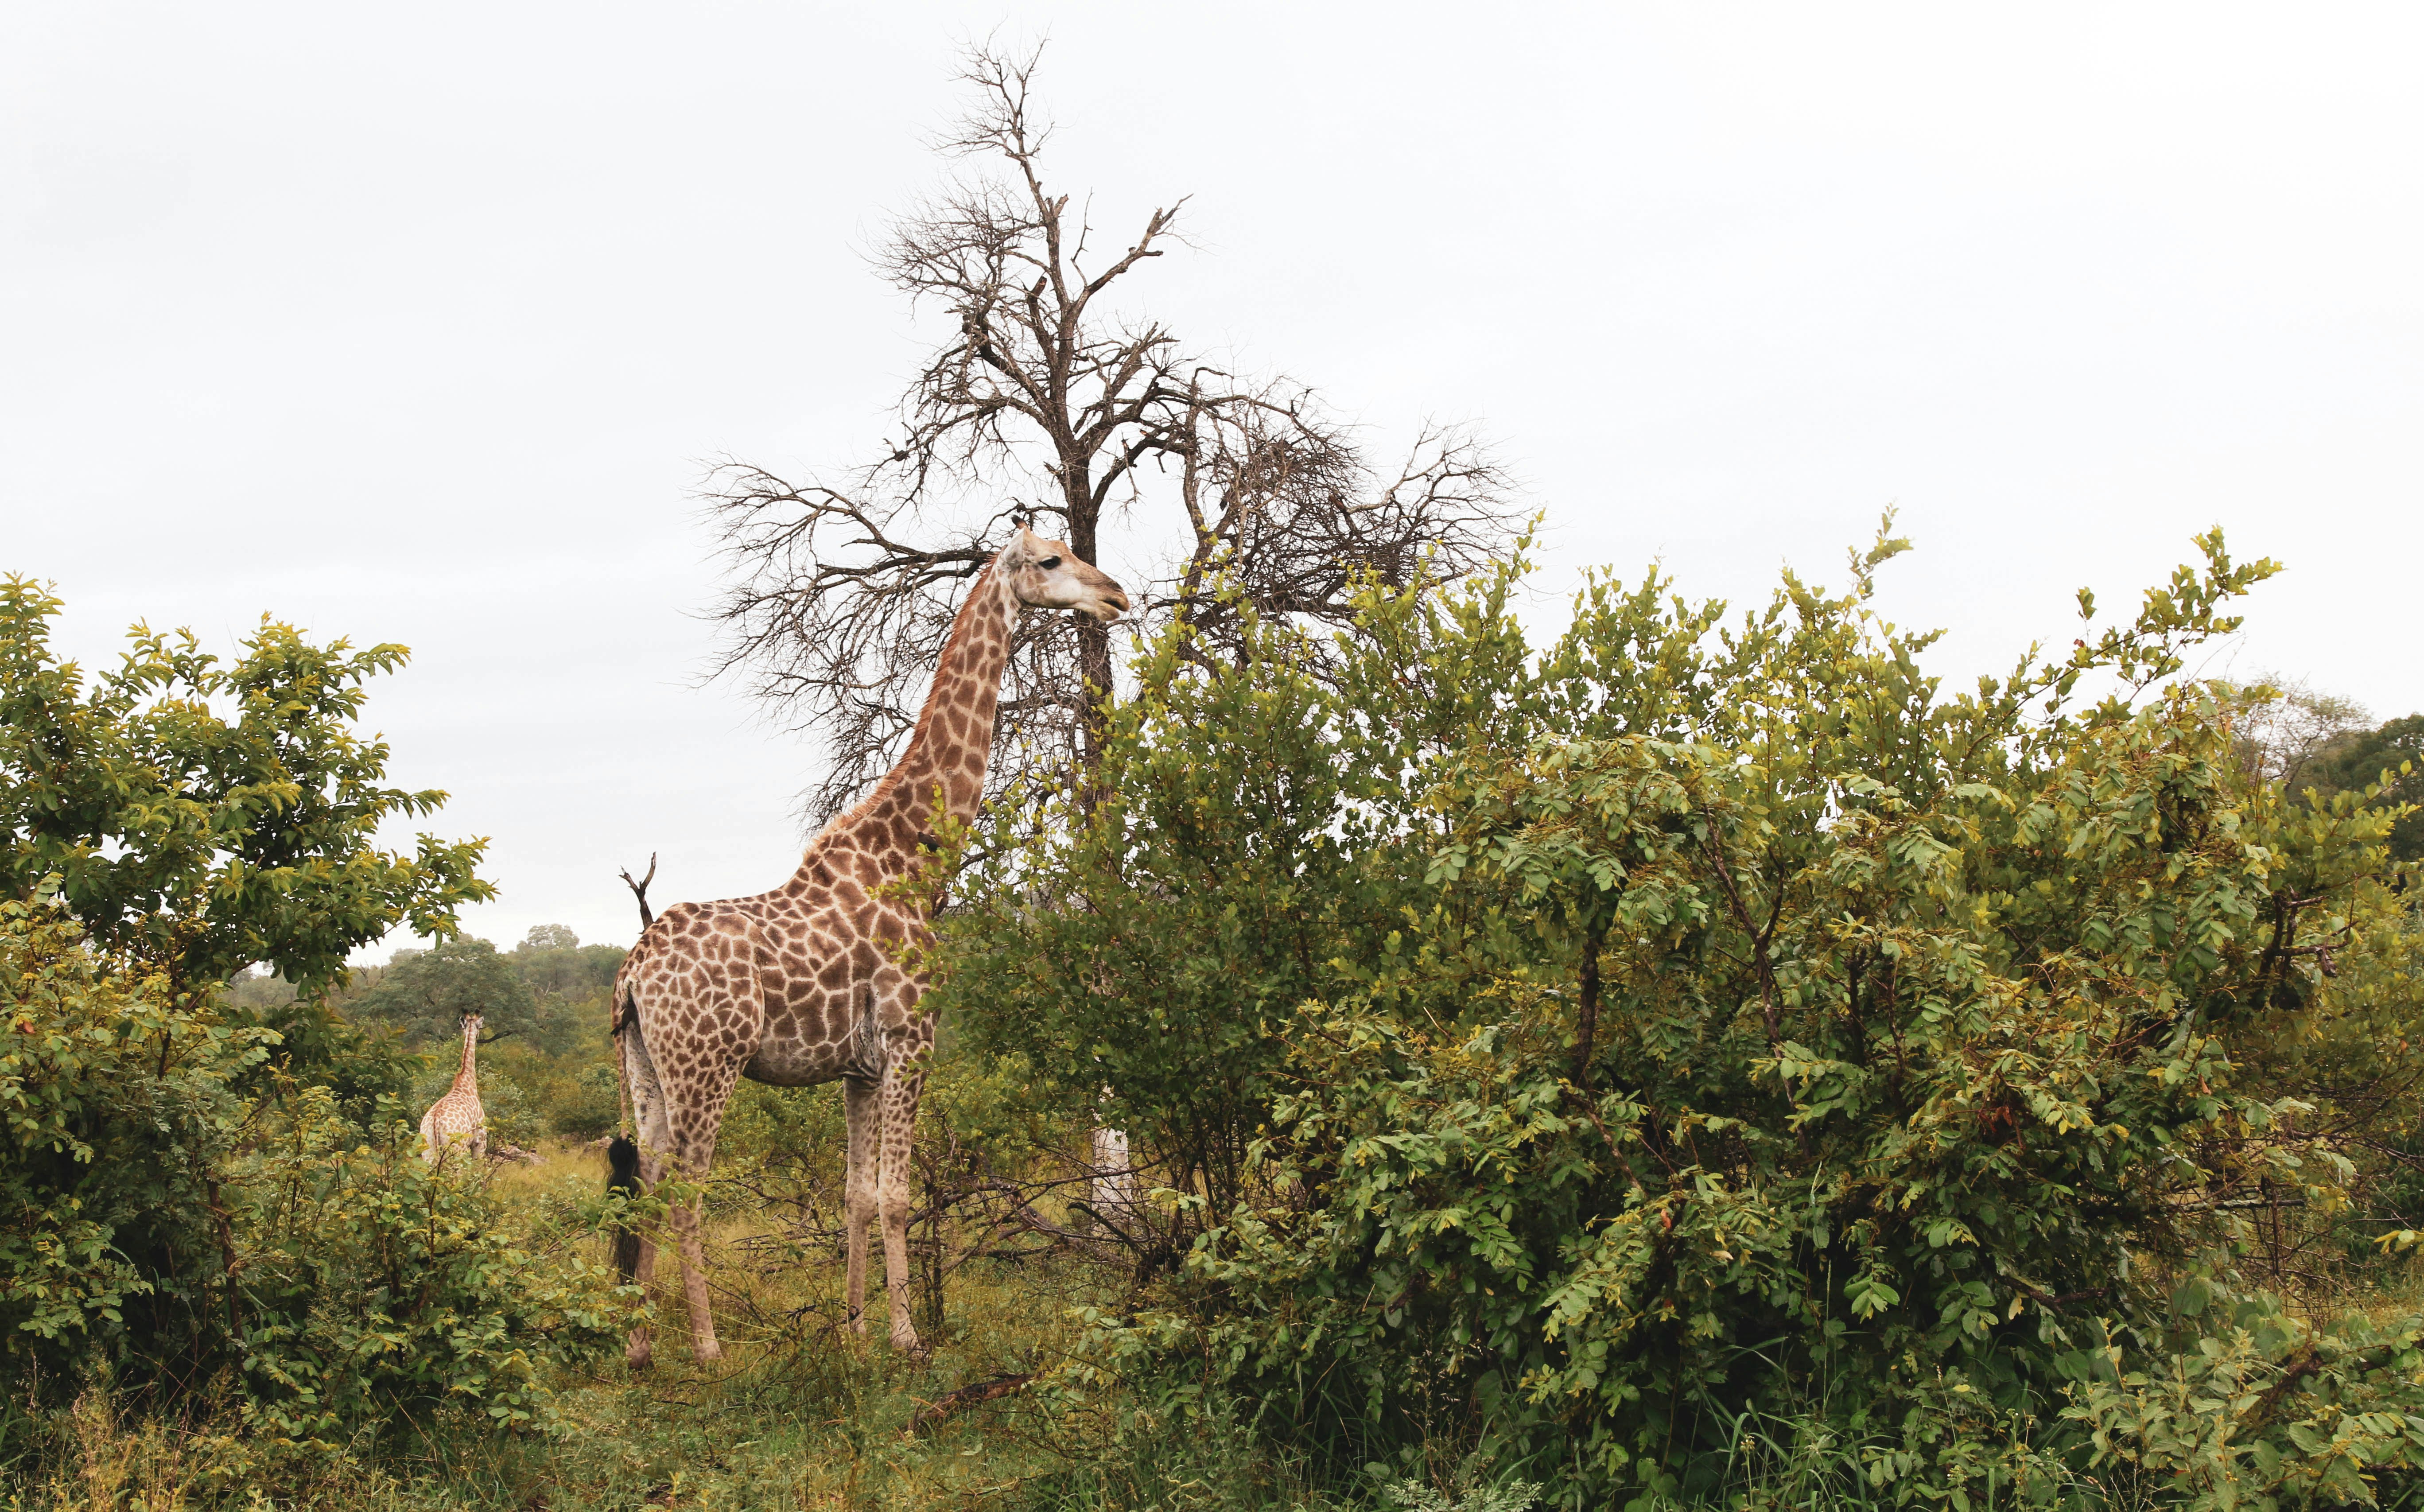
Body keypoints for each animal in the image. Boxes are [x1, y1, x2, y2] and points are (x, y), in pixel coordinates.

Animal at [419, 1018, 489, 1168]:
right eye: (480, 1028)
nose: (478, 1037)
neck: (467, 1081)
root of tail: (436, 1123)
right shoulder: (480, 1141)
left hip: (428, 1153)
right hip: (457, 1151)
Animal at [610, 525, 1129, 1366]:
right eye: (1052, 560)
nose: (1116, 595)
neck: (914, 863)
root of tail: (631, 970)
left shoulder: (856, 1065)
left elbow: (854, 1194)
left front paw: (853, 1332)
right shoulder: (912, 1038)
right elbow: (895, 1195)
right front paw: (908, 1338)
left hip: (646, 1066)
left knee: (651, 1180)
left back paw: (639, 1344)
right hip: (709, 1063)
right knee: (688, 1186)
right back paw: (708, 1347)